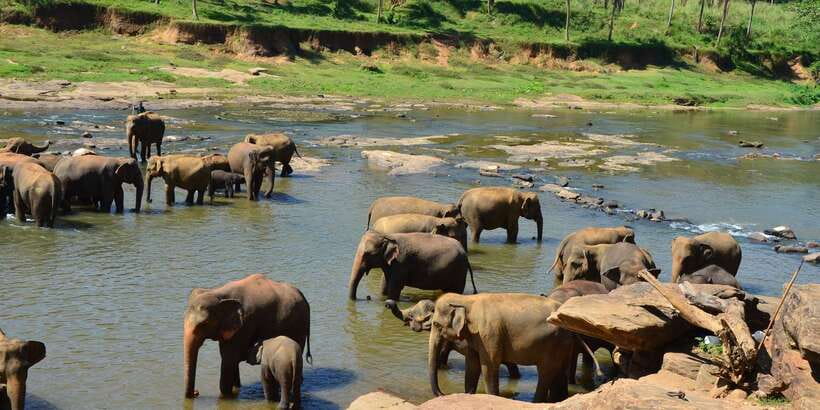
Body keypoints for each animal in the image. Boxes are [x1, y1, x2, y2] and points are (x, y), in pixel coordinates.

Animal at [183, 273, 311, 399]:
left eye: (204, 323)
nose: (196, 392)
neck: (217, 293)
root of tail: (303, 297)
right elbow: (230, 359)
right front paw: (236, 388)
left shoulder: (245, 324)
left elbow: (229, 358)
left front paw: (227, 396)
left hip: (298, 326)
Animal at [348, 231, 477, 301]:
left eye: (367, 254)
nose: (367, 297)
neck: (387, 236)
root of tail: (465, 254)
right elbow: (385, 284)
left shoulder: (401, 262)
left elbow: (394, 289)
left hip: (458, 271)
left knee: (454, 291)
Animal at [428, 293, 574, 402]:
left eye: (436, 324)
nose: (444, 394)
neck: (467, 299)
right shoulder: (476, 337)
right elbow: (472, 366)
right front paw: (468, 394)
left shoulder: (489, 334)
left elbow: (489, 366)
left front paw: (492, 397)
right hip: (562, 345)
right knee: (559, 372)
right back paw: (558, 400)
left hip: (553, 344)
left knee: (546, 373)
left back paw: (536, 401)